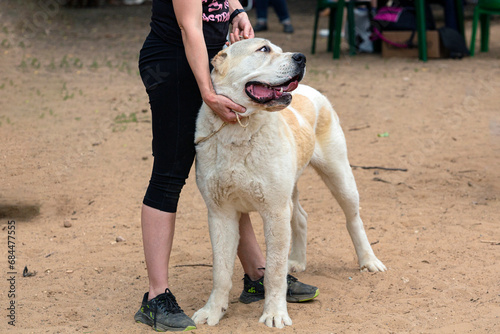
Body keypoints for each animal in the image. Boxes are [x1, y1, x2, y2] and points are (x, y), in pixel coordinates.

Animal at [192, 38, 386, 328]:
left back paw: (369, 260)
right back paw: (296, 260)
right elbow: (221, 271)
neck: (239, 130)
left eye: (278, 49)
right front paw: (213, 311)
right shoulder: (220, 213)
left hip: (340, 176)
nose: (302, 57)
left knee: (354, 219)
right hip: (290, 191)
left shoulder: (275, 211)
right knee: (302, 217)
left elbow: (273, 270)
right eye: (263, 49)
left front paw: (274, 313)